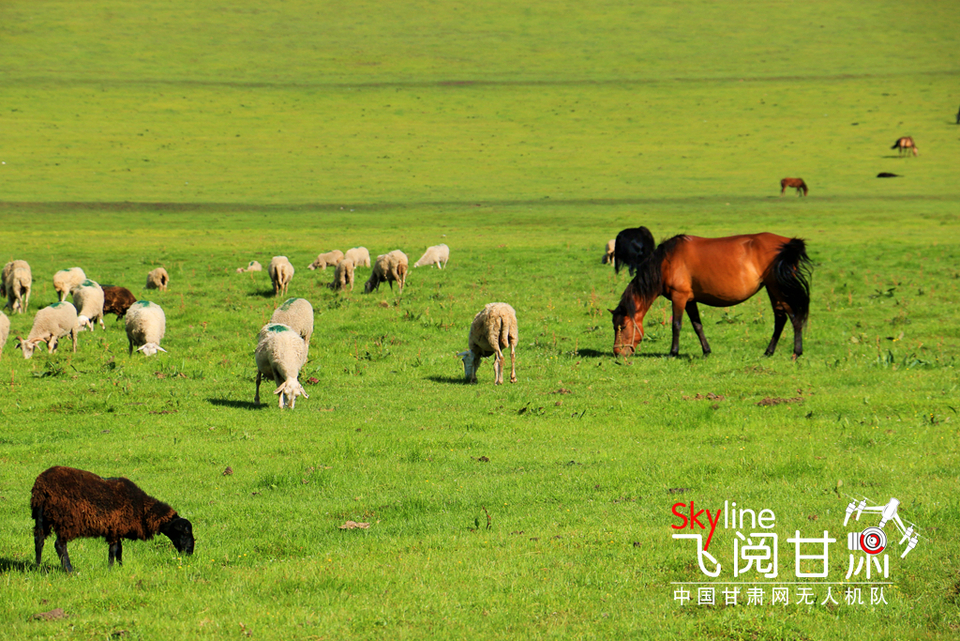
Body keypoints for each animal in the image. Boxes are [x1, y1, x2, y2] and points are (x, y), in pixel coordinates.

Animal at [31, 462, 195, 572]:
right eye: (185, 532)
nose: (190, 552)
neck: (143, 509)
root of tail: (41, 486)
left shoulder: (116, 529)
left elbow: (118, 550)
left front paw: (120, 567)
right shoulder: (115, 527)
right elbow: (114, 550)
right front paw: (110, 569)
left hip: (41, 517)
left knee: (39, 541)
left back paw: (38, 567)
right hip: (65, 520)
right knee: (59, 545)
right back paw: (69, 570)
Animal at [608, 229, 808, 360]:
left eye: (622, 327)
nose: (617, 353)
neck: (666, 261)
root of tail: (788, 243)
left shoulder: (679, 297)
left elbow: (676, 325)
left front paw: (673, 353)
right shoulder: (690, 300)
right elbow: (698, 326)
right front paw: (706, 351)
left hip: (778, 288)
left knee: (794, 317)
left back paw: (796, 352)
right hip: (772, 289)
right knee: (781, 318)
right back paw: (768, 352)